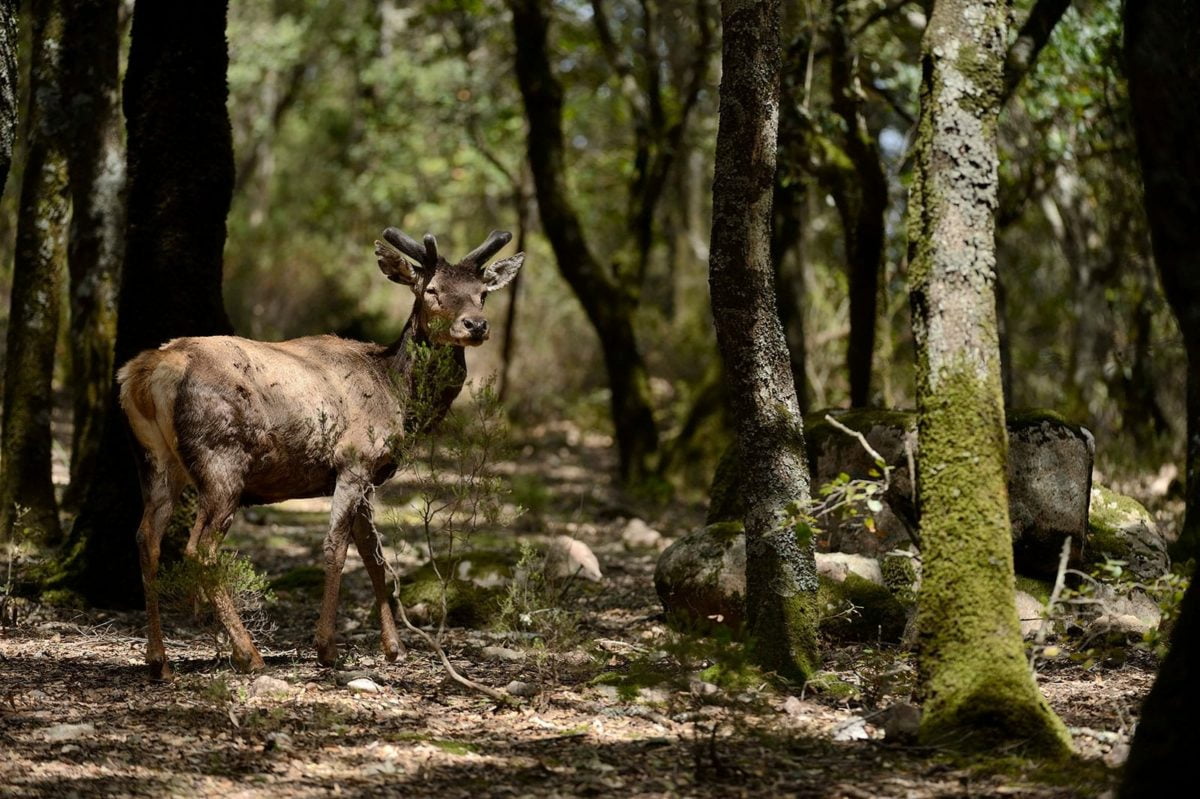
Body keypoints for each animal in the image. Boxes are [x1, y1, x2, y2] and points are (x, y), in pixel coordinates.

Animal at [118, 226, 525, 676]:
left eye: (482, 293)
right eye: (432, 289)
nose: (476, 325)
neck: (395, 392)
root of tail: (146, 373)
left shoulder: (368, 475)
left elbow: (374, 555)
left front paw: (394, 647)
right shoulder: (354, 459)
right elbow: (336, 548)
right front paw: (327, 647)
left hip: (153, 460)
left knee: (146, 538)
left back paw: (159, 660)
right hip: (221, 459)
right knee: (199, 549)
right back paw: (248, 653)